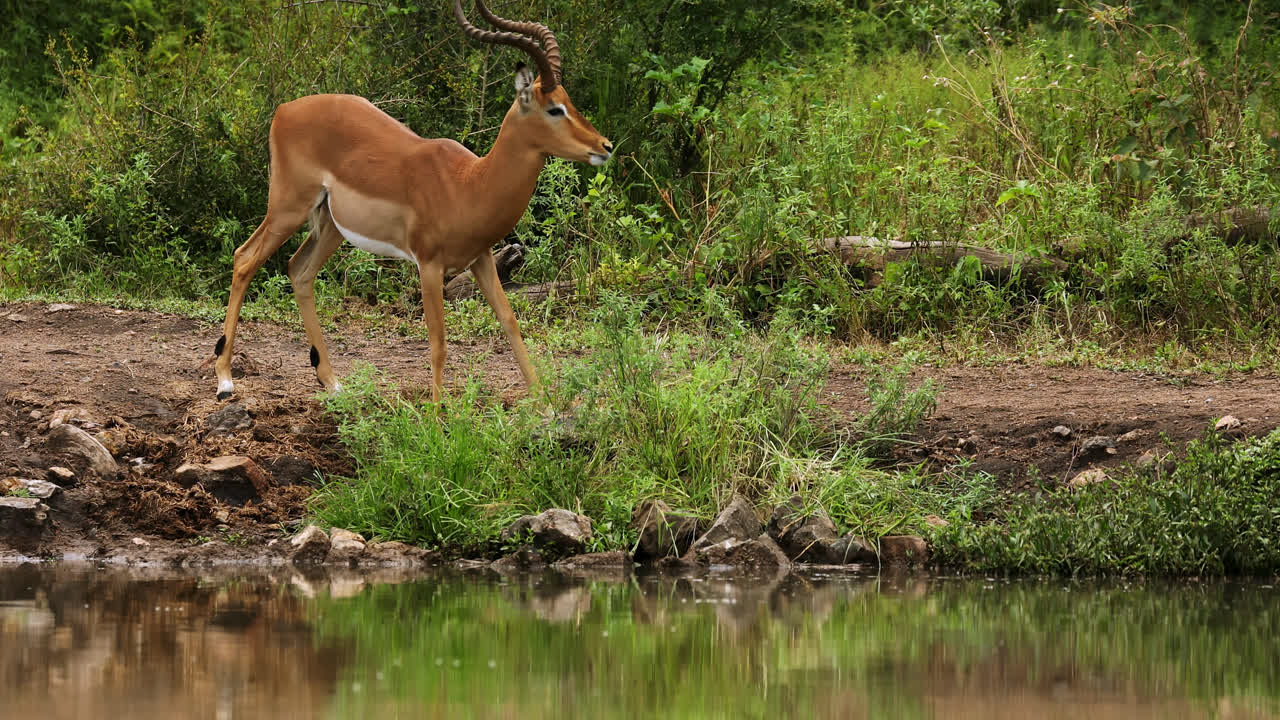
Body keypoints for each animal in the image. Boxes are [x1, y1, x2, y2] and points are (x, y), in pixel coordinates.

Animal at [211, 0, 611, 402]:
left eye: (569, 101)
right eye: (554, 108)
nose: (605, 146)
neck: (469, 183)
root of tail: (284, 110)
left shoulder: (481, 258)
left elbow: (510, 323)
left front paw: (545, 405)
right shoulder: (429, 265)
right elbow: (438, 343)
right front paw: (436, 413)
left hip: (329, 224)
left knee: (299, 270)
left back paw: (333, 383)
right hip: (288, 207)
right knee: (244, 259)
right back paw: (225, 381)